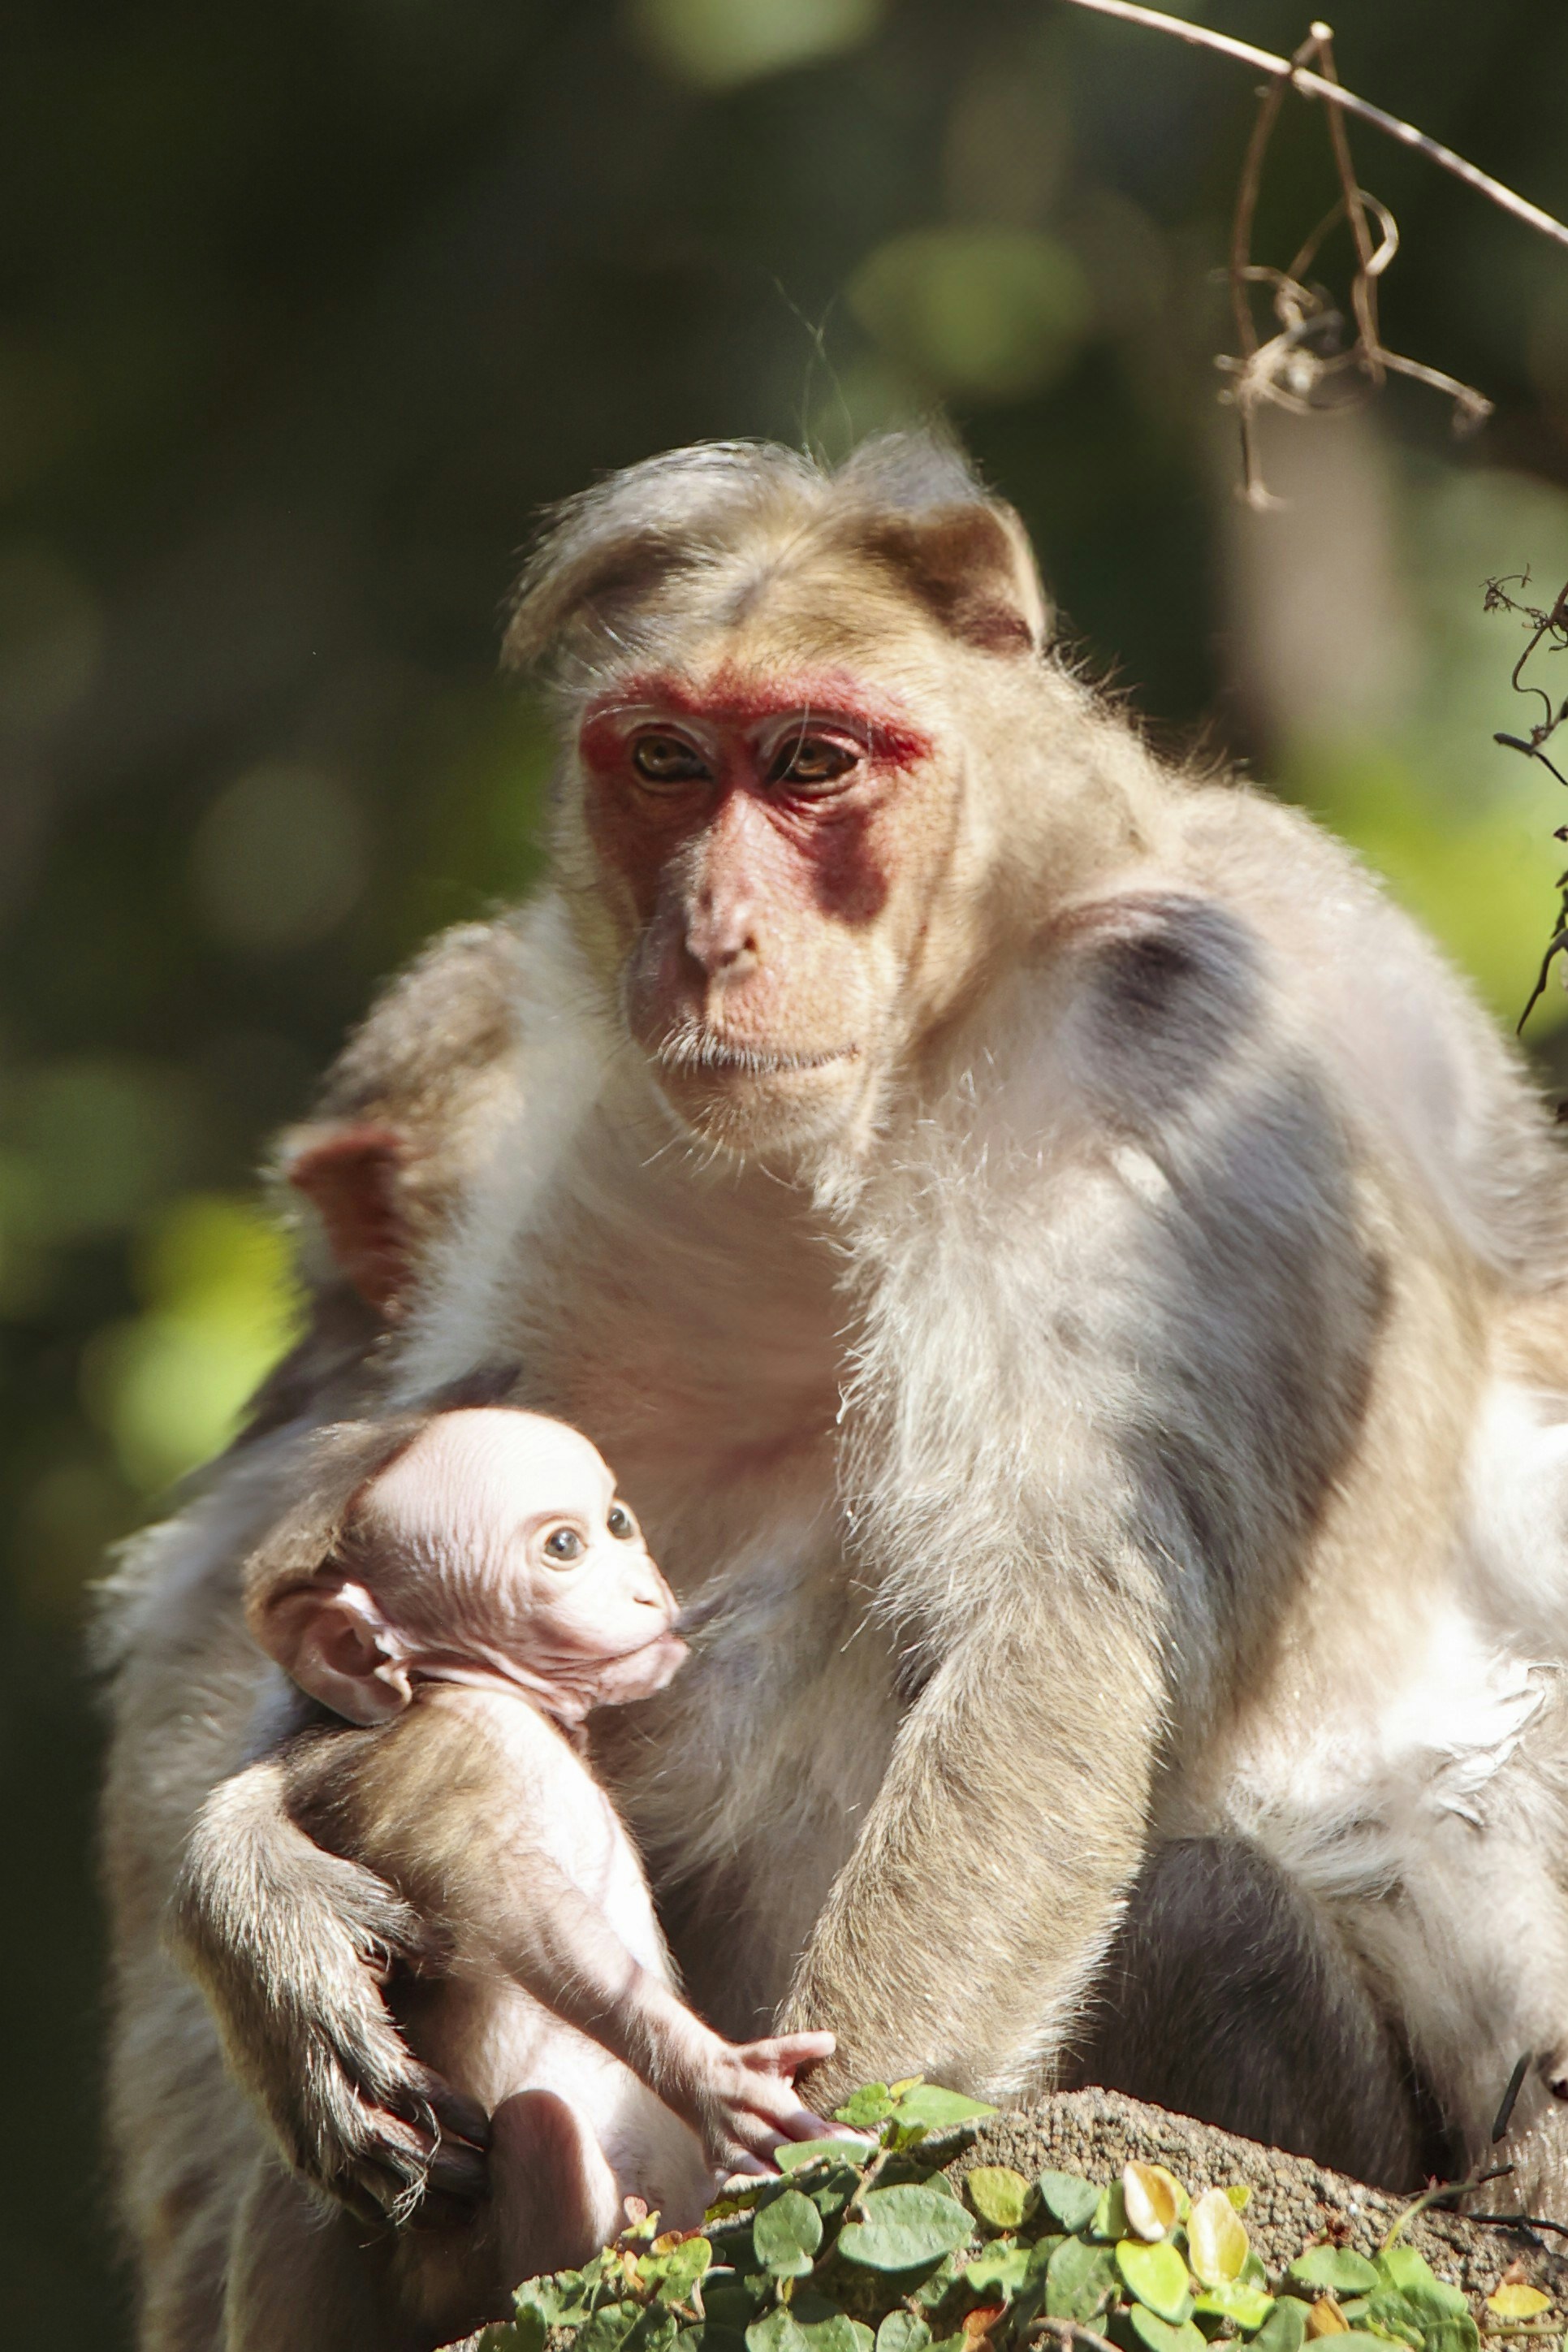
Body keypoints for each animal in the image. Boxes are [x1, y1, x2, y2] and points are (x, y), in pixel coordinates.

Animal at [173, 1401, 839, 2351]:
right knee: (536, 2131)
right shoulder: (465, 1746)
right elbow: (522, 1909)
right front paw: (710, 2078)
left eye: (617, 1522)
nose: (644, 1591)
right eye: (562, 1547)